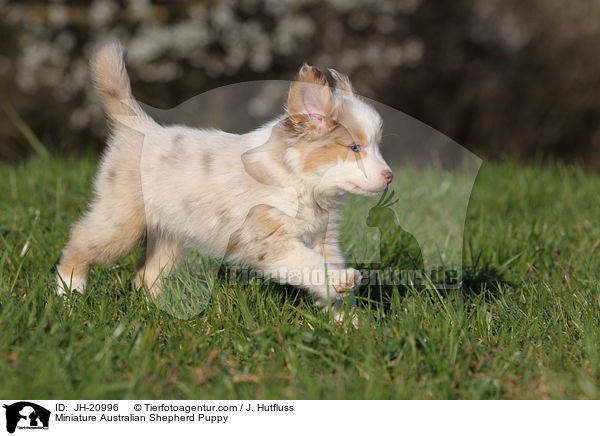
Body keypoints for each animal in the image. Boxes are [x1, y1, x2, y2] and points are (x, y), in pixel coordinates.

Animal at [57, 41, 394, 324]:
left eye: (377, 145)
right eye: (355, 148)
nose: (390, 176)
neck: (301, 182)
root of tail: (140, 127)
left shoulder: (324, 239)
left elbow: (326, 276)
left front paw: (349, 325)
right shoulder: (269, 241)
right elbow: (308, 263)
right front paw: (342, 282)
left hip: (169, 235)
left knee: (145, 275)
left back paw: (155, 311)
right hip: (121, 221)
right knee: (79, 241)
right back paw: (69, 293)